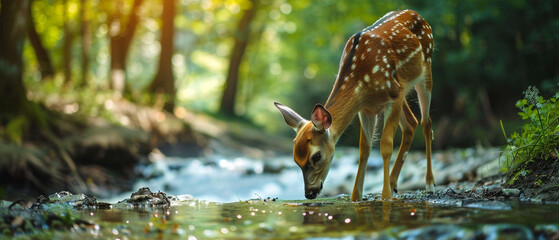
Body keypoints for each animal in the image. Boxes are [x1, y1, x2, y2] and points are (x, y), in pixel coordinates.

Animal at [276, 9, 438, 201]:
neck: (363, 83)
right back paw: (394, 183)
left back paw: (429, 184)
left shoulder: (393, 95)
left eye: (316, 156)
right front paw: (356, 197)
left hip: (425, 70)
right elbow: (364, 149)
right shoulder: (366, 108)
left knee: (426, 123)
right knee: (411, 123)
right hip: (403, 87)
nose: (309, 193)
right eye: (295, 159)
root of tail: (416, 14)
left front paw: (385, 196)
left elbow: (386, 145)